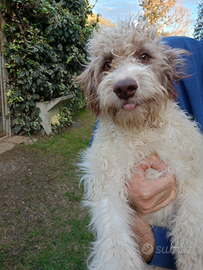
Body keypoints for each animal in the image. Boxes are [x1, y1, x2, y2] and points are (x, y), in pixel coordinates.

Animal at [76, 19, 203, 270]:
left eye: (143, 56)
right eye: (107, 64)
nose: (124, 87)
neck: (140, 129)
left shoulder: (193, 174)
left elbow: (191, 230)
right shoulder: (107, 184)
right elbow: (115, 244)